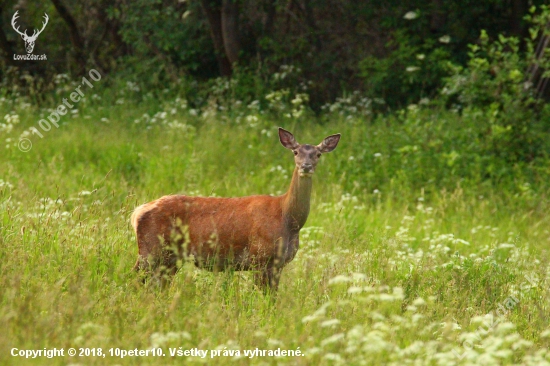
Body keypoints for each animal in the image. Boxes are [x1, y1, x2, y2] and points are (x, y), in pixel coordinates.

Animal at [132, 127, 342, 290]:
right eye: (295, 152)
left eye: (318, 154)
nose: (306, 166)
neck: (287, 219)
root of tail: (137, 213)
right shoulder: (260, 257)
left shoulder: (278, 263)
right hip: (151, 250)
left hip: (170, 258)